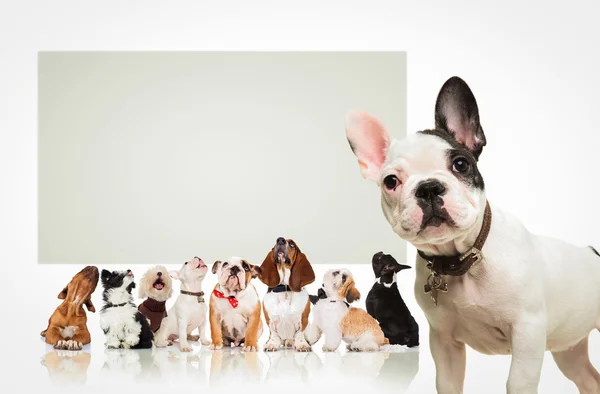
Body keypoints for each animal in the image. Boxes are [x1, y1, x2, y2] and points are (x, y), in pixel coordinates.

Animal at [344, 75, 600, 392]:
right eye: (391, 181)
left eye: (461, 164)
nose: (428, 188)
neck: (462, 258)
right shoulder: (443, 341)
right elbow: (448, 382)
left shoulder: (527, 335)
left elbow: (518, 383)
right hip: (568, 348)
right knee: (588, 379)